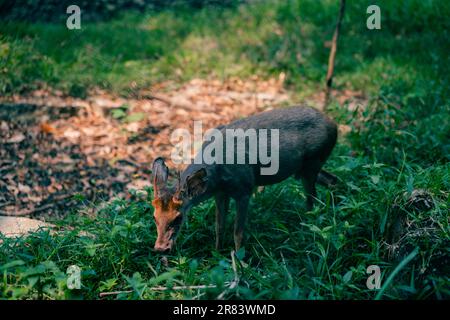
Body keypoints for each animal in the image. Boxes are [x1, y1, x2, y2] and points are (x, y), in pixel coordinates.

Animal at [151, 107, 338, 252]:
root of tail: (334, 125)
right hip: (303, 168)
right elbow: (219, 226)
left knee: (312, 199)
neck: (218, 176)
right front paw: (217, 253)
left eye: (178, 217)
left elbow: (238, 232)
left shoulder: (245, 190)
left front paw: (240, 263)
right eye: (154, 217)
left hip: (313, 161)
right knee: (331, 180)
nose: (160, 248)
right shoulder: (220, 193)